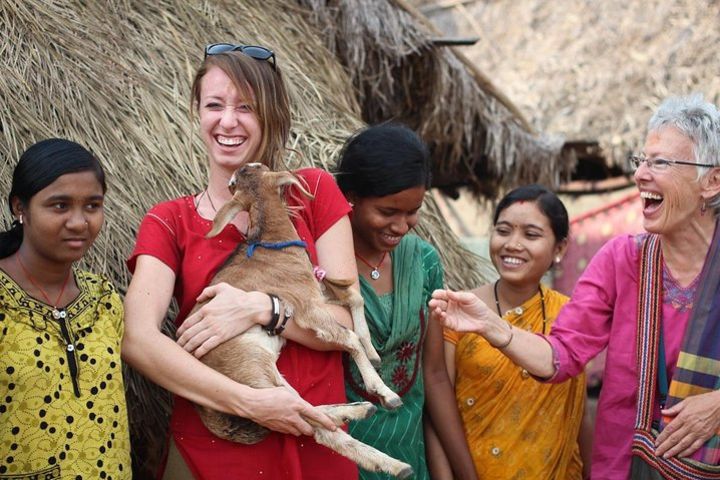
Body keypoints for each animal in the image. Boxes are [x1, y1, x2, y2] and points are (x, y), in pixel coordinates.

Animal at [188, 163, 410, 478]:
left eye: (251, 170)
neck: (272, 244)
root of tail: (205, 410)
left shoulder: (317, 293)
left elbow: (354, 298)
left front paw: (373, 353)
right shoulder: (307, 308)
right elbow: (348, 335)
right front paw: (382, 389)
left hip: (265, 378)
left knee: (309, 418)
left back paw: (364, 422)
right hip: (252, 374)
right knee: (307, 420)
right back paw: (389, 453)